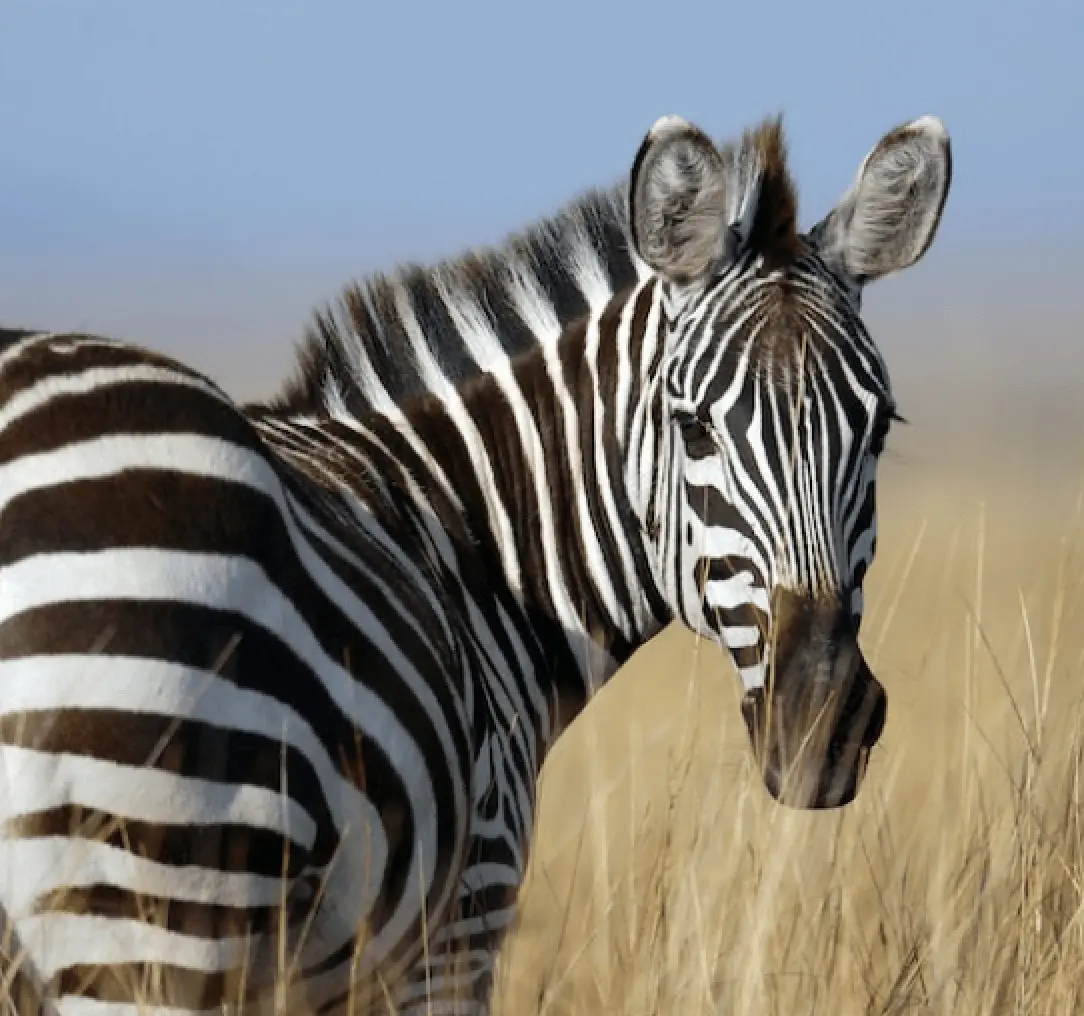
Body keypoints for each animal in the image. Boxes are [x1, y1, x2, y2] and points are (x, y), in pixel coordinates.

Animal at [0, 110, 952, 1015]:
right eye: (694, 429)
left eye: (878, 428)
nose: (823, 723)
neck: (474, 547)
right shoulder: (461, 922)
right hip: (150, 915)